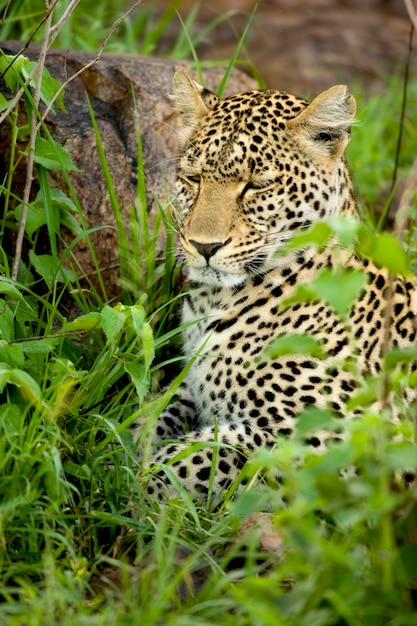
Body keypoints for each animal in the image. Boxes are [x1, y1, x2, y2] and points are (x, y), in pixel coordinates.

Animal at [141, 69, 416, 498]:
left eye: (257, 185)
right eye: (193, 178)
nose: (204, 246)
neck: (213, 302)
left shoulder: (344, 443)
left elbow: (194, 459)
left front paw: (124, 488)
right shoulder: (190, 386)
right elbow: (153, 415)